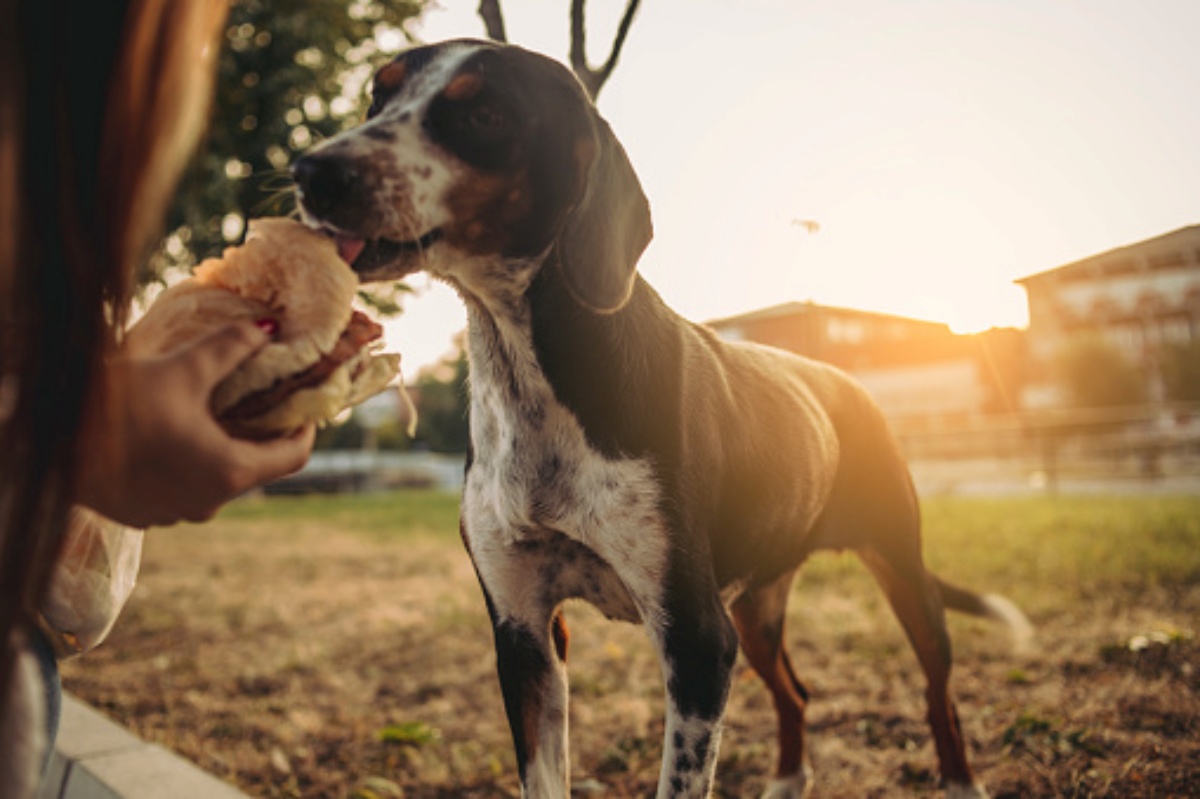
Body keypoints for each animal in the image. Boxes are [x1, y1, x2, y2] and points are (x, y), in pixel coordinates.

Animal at [292, 38, 1032, 796]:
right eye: (376, 97)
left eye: (486, 114)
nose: (310, 170)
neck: (532, 378)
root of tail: (849, 385)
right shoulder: (523, 631)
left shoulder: (697, 640)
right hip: (755, 610)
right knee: (796, 694)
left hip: (899, 580)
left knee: (939, 697)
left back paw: (959, 781)